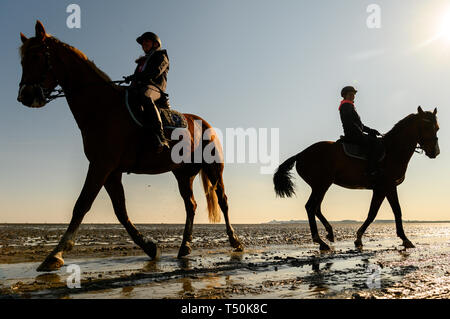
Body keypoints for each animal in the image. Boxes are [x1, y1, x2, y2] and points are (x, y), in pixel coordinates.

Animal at [17, 21, 243, 272]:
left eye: (37, 56)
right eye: (22, 60)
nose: (25, 95)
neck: (101, 107)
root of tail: (205, 123)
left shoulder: (101, 165)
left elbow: (81, 204)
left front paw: (55, 255)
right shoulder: (111, 171)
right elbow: (120, 211)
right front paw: (150, 247)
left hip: (214, 168)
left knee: (223, 201)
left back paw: (235, 242)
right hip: (183, 174)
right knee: (190, 205)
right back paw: (185, 246)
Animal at [274, 107, 440, 252]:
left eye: (437, 128)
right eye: (426, 126)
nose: (435, 152)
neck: (393, 150)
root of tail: (301, 154)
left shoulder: (380, 189)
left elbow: (373, 213)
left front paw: (359, 238)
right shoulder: (388, 186)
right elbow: (395, 211)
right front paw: (405, 239)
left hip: (321, 186)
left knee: (316, 208)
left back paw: (329, 233)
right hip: (321, 185)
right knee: (310, 207)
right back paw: (320, 241)